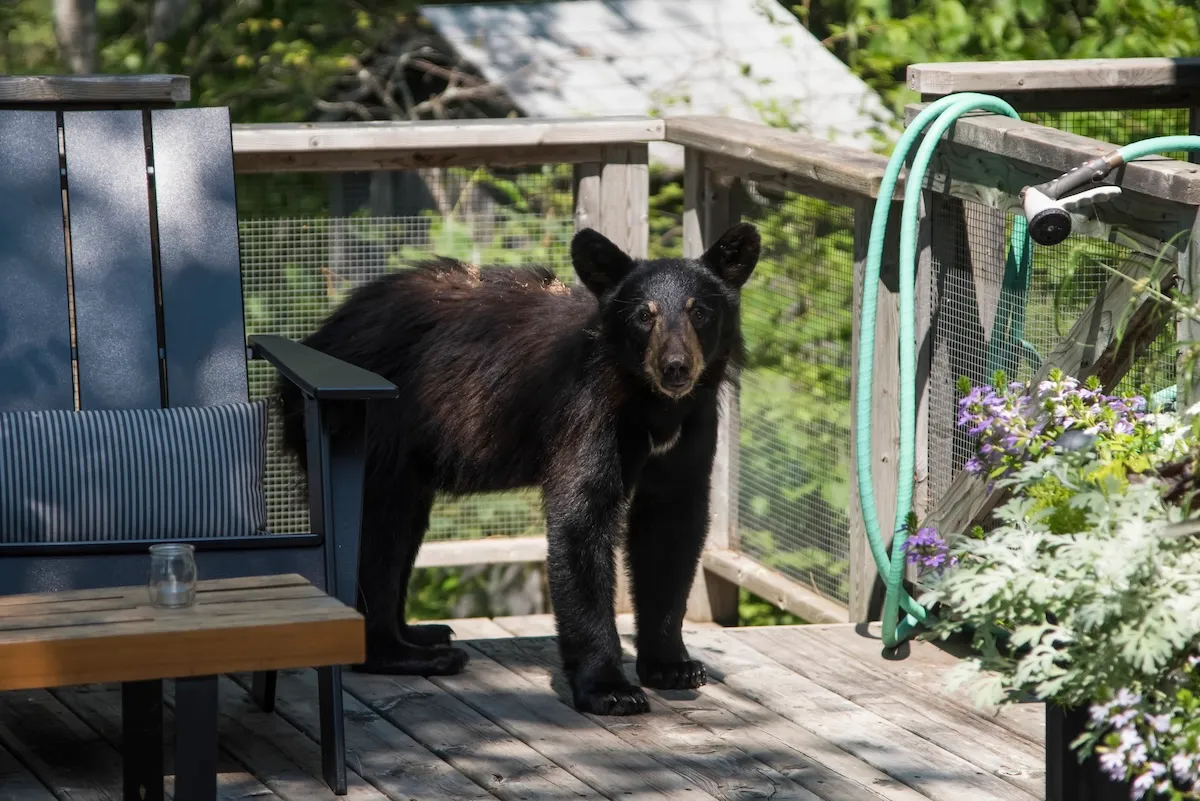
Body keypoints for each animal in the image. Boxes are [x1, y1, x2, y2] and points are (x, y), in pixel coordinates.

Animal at [277, 221, 760, 715]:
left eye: (699, 311)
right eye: (645, 315)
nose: (675, 367)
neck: (652, 404)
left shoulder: (693, 424)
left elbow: (671, 525)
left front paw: (672, 666)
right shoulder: (588, 411)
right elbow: (581, 518)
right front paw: (609, 688)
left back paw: (421, 633)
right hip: (373, 427)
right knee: (378, 534)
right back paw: (405, 654)